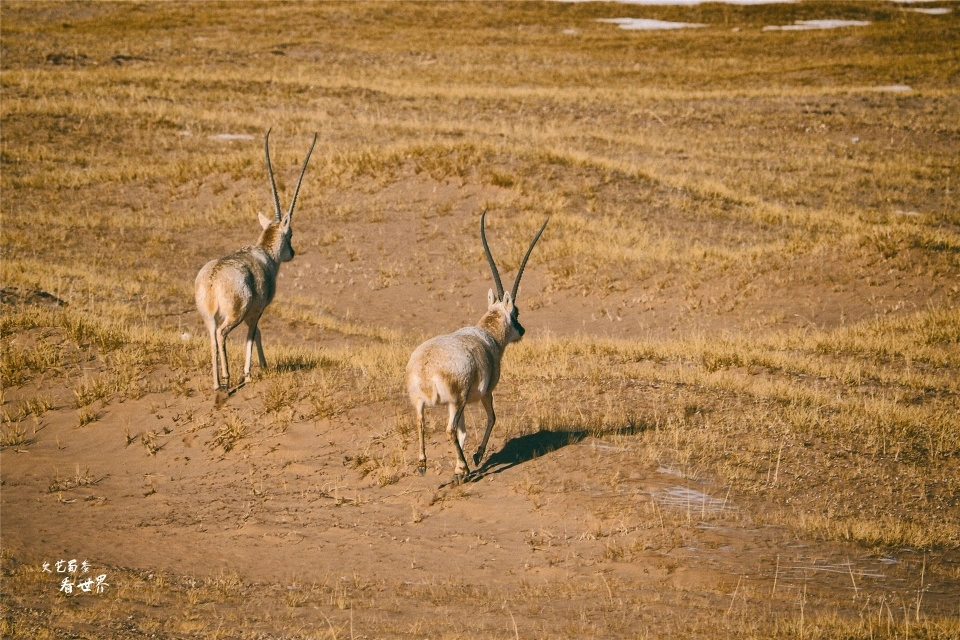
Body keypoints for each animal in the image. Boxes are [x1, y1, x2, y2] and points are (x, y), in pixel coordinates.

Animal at [195, 129, 318, 390]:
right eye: (291, 234)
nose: (292, 253)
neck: (264, 254)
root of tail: (212, 280)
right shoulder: (256, 310)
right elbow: (252, 335)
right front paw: (249, 373)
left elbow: (257, 334)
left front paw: (263, 365)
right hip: (234, 314)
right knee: (222, 334)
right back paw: (227, 377)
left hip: (208, 317)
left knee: (211, 336)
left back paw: (216, 383)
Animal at [404, 212, 548, 482]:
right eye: (516, 312)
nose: (522, 330)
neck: (487, 333)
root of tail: (426, 369)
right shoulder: (486, 392)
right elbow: (491, 418)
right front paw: (474, 458)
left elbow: (465, 432)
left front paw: (459, 467)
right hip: (457, 401)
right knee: (451, 430)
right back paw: (466, 468)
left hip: (421, 402)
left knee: (421, 422)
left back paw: (423, 464)